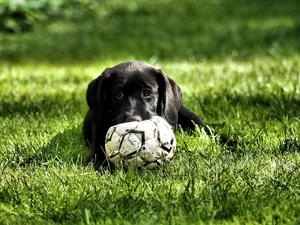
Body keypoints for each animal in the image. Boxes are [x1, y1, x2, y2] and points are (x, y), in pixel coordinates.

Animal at [83, 60, 212, 170]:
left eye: (147, 93)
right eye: (119, 94)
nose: (132, 119)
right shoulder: (97, 139)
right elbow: (98, 158)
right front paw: (104, 168)